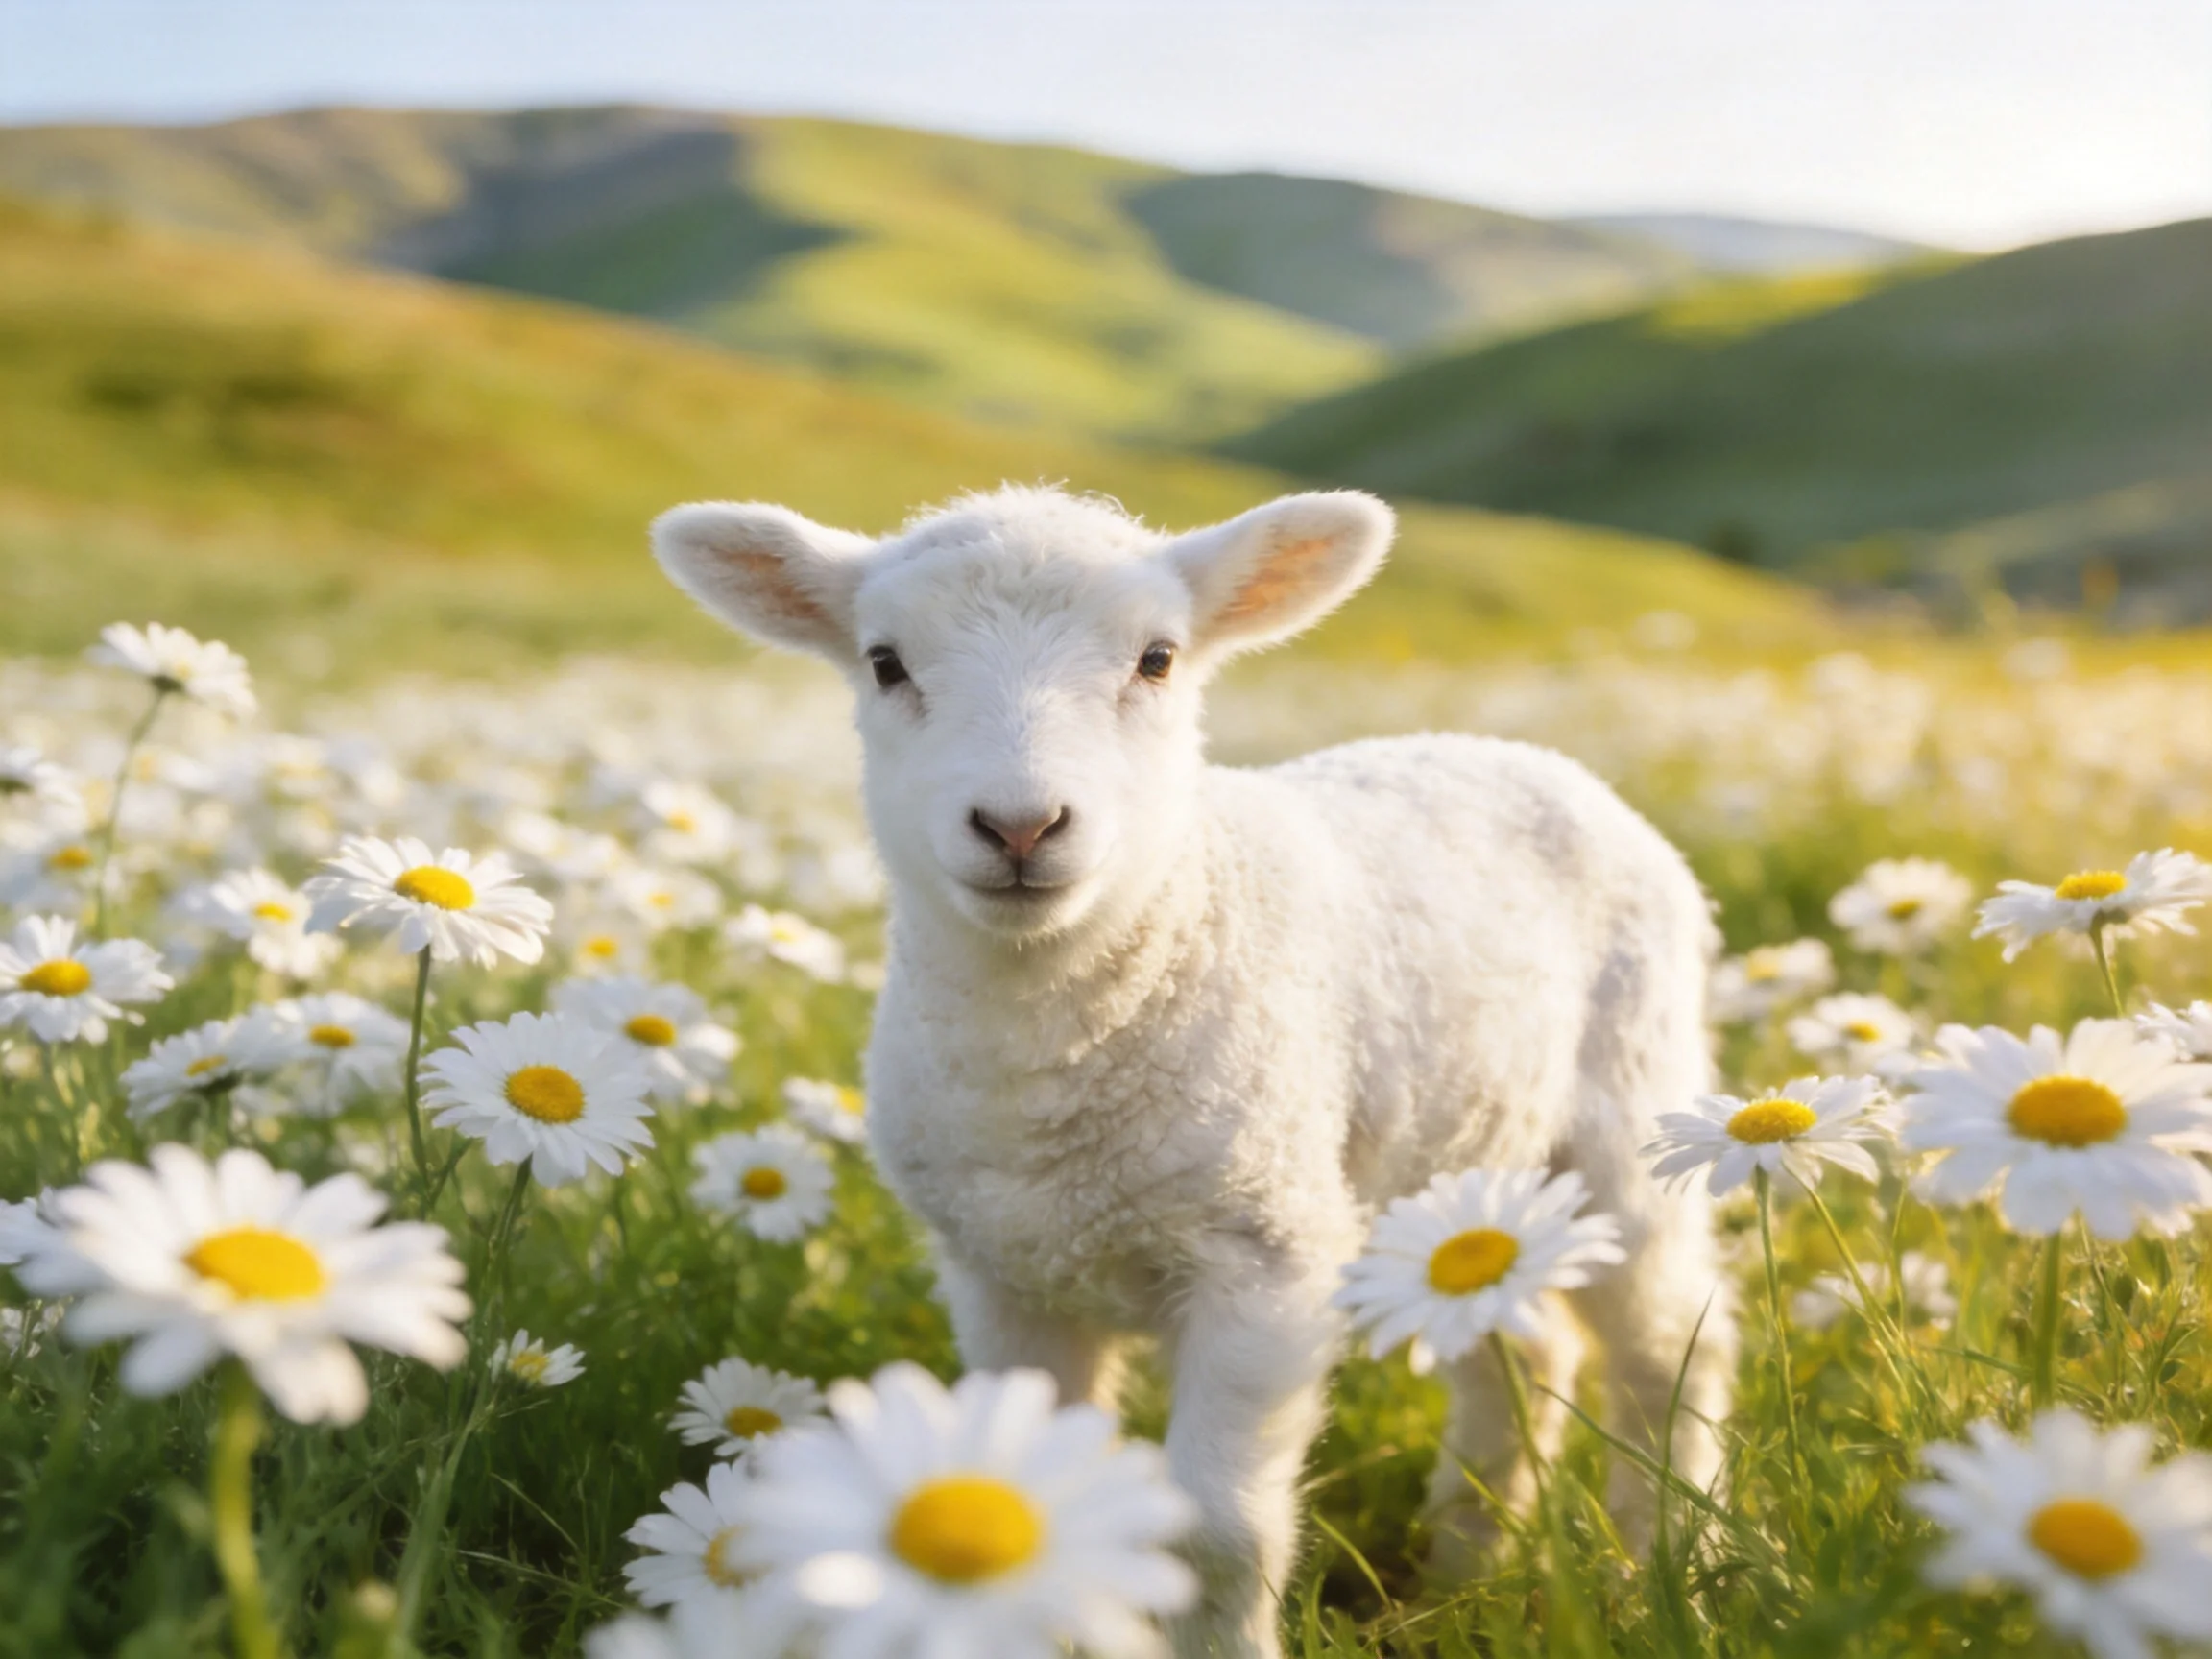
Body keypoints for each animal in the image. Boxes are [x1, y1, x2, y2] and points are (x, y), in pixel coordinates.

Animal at [653, 485, 1737, 1659]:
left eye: (1158, 659)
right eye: (886, 662)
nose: (1020, 826)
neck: (1055, 1068)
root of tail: (1517, 753)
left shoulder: (1262, 1258)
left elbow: (1219, 1534)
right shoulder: (1002, 1275)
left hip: (1633, 1106)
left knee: (1669, 1346)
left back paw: (1671, 1570)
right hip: (1469, 1160)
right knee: (1517, 1354)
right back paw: (1464, 1579)